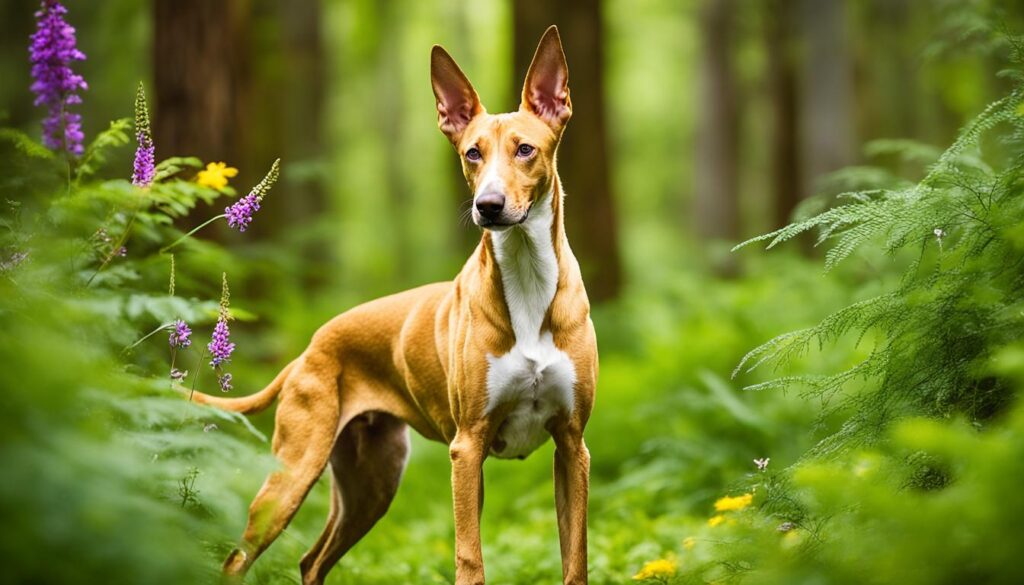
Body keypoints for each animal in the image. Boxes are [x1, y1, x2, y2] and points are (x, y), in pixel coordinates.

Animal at [188, 25, 598, 581]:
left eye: (525, 150)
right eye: (472, 153)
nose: (487, 206)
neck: (528, 280)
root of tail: (310, 349)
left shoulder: (572, 446)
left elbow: (575, 560)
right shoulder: (467, 448)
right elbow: (470, 559)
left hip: (371, 484)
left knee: (311, 561)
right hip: (295, 471)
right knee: (237, 559)